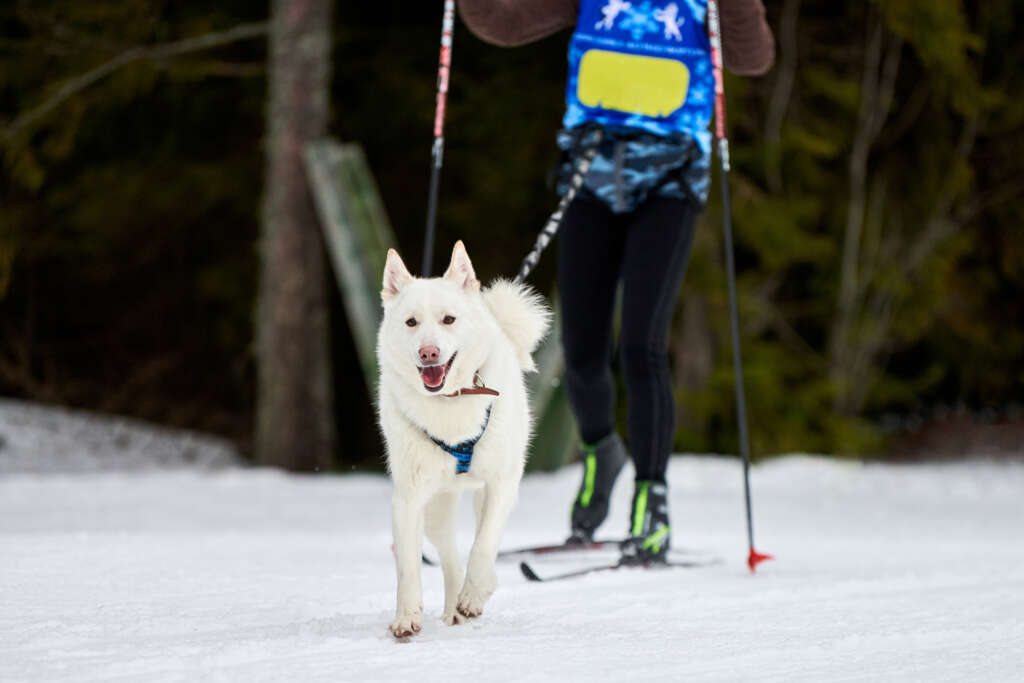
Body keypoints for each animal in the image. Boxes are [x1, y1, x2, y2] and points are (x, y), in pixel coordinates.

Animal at [378, 242, 552, 638]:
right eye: (411, 322)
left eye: (448, 319)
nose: (428, 353)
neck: (450, 403)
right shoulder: (408, 498)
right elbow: (407, 565)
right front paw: (406, 617)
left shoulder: (502, 484)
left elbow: (484, 544)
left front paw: (475, 593)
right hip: (436, 509)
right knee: (449, 557)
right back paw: (454, 606)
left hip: (482, 494)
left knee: (478, 545)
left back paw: (473, 594)